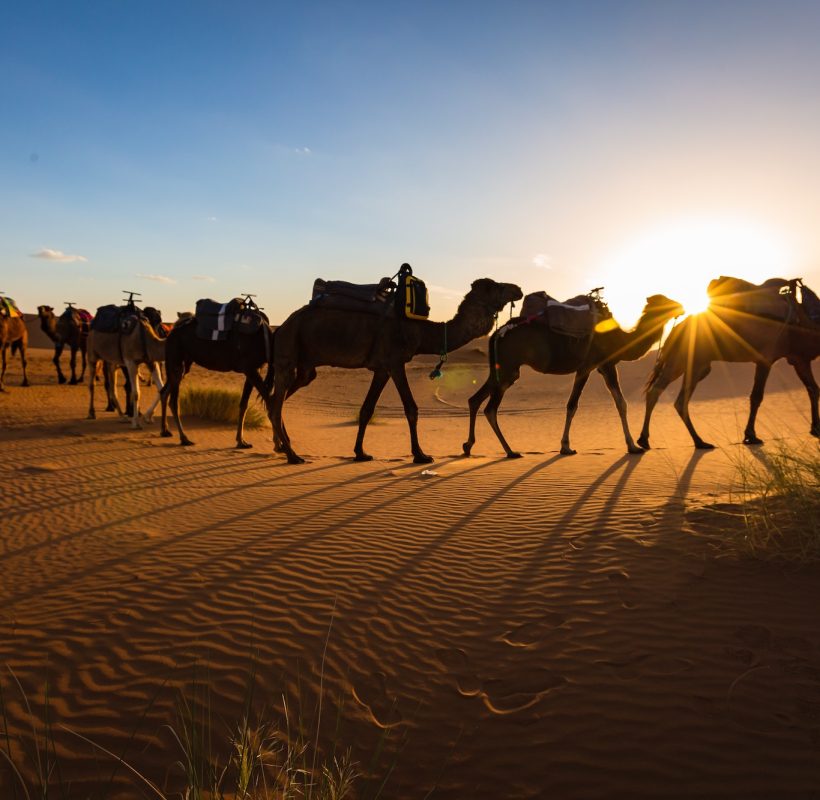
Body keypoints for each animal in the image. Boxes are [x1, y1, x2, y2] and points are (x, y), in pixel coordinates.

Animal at [159, 312, 278, 446]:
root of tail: (170, 334)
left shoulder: (252, 370)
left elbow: (244, 404)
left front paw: (241, 441)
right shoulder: (250, 368)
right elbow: (270, 401)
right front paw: (280, 444)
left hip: (185, 363)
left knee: (164, 392)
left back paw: (165, 431)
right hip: (176, 358)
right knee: (173, 401)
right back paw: (184, 438)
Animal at [272, 276, 524, 462]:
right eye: (496, 287)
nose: (518, 289)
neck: (421, 332)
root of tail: (282, 325)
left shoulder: (382, 368)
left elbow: (367, 409)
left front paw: (360, 453)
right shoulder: (395, 362)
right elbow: (411, 408)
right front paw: (420, 455)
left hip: (306, 368)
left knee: (279, 399)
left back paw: (284, 447)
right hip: (288, 354)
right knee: (276, 402)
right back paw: (292, 455)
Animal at [464, 294, 684, 456]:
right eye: (665, 302)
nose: (681, 307)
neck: (619, 339)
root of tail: (497, 333)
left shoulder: (603, 366)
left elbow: (618, 403)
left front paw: (632, 445)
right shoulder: (593, 365)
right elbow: (576, 405)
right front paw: (566, 446)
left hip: (502, 369)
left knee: (475, 399)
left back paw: (468, 446)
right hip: (508, 368)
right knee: (490, 409)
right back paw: (510, 451)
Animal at [640, 278, 820, 446]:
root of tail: (676, 329)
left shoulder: (799, 359)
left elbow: (813, 389)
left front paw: (815, 428)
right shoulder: (766, 358)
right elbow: (756, 397)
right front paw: (750, 435)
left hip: (695, 364)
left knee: (673, 397)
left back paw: (696, 441)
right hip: (682, 360)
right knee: (661, 393)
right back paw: (648, 440)